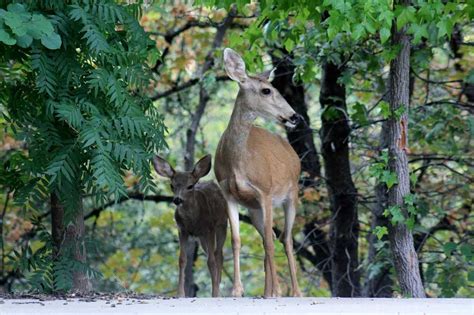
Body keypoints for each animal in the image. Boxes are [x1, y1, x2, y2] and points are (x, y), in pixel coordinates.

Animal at [152, 156, 226, 298]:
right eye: (172, 185)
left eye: (190, 186)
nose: (177, 199)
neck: (193, 220)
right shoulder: (182, 230)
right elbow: (182, 260)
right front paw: (180, 293)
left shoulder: (209, 228)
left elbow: (211, 261)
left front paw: (215, 293)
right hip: (201, 238)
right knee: (213, 254)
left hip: (222, 225)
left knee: (218, 255)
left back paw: (218, 290)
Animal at [214, 48, 300, 298]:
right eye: (266, 90)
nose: (295, 116)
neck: (238, 164)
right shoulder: (228, 193)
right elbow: (236, 240)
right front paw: (236, 290)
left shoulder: (266, 191)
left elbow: (272, 243)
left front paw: (278, 291)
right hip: (254, 209)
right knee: (269, 236)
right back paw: (267, 291)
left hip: (292, 194)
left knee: (286, 239)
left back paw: (294, 292)